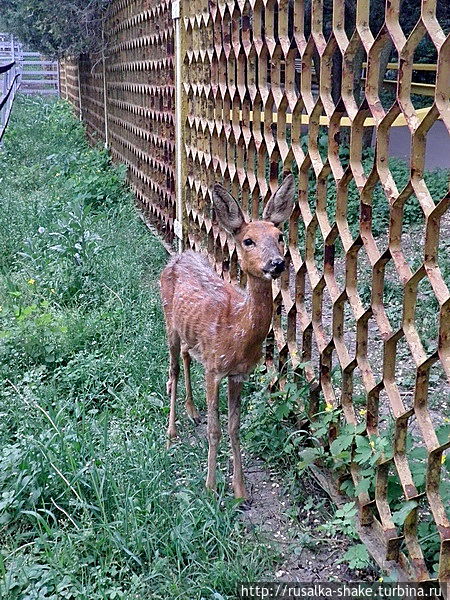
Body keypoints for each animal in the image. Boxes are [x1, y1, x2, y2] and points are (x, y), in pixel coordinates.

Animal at [161, 175, 296, 502]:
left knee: (185, 356)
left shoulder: (238, 374)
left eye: (280, 235)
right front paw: (210, 487)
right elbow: (216, 429)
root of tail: (178, 255)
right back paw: (171, 432)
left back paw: (192, 411)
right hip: (168, 322)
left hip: (189, 332)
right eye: (248, 241)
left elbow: (235, 427)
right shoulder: (214, 369)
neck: (236, 332)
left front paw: (240, 491)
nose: (277, 264)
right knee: (172, 370)